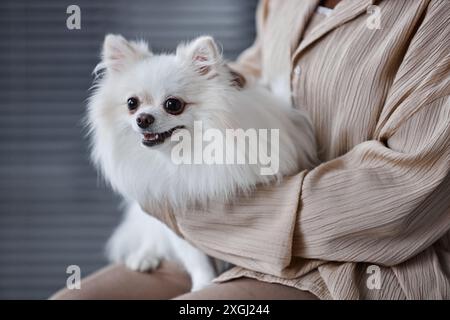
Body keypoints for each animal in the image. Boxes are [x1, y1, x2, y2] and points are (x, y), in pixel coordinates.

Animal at [87, 34, 316, 290]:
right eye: (131, 103)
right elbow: (196, 259)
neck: (184, 154)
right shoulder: (177, 218)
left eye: (173, 104)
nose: (142, 119)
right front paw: (202, 285)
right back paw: (145, 256)